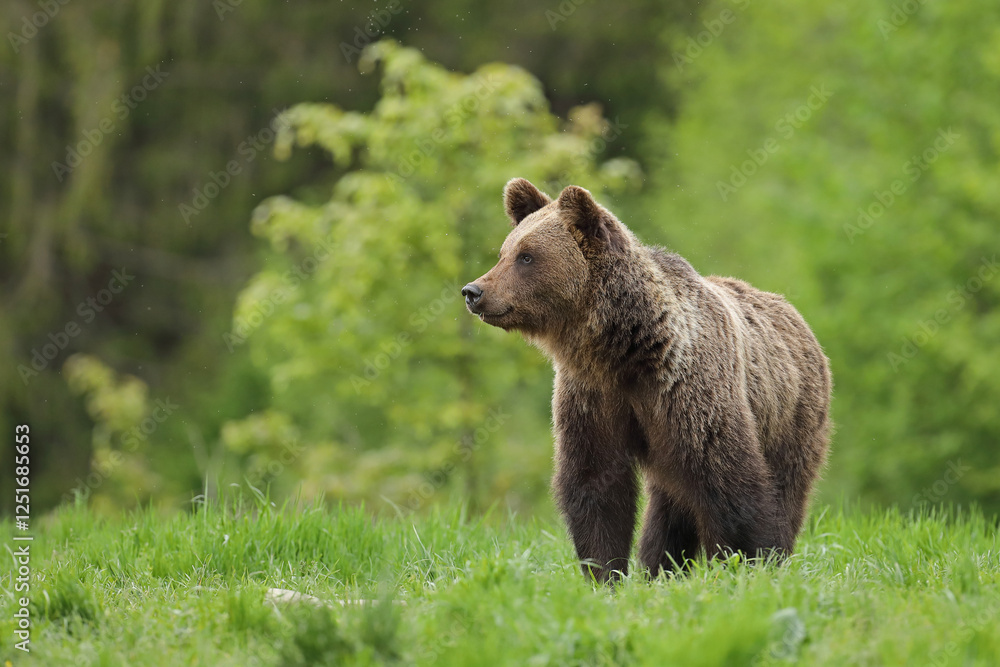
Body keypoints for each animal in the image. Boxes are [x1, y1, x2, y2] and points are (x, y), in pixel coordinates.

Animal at [462, 178, 832, 583]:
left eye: (526, 256)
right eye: (504, 251)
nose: (473, 291)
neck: (625, 350)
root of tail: (796, 316)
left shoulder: (687, 391)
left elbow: (730, 481)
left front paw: (745, 562)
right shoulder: (593, 394)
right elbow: (596, 484)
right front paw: (604, 573)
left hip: (790, 416)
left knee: (785, 486)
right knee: (671, 504)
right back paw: (663, 567)